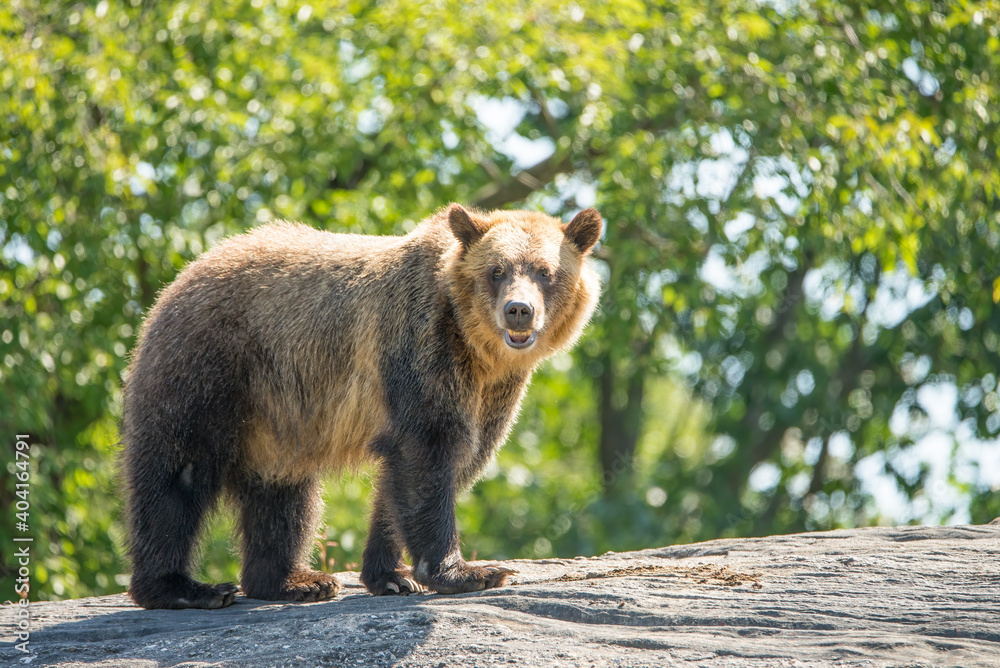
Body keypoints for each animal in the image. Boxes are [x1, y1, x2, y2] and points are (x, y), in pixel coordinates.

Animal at [121, 203, 603, 609]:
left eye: (545, 271)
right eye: (497, 270)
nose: (518, 310)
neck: (476, 350)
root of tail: (181, 275)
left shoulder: (493, 393)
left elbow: (428, 469)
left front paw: (390, 575)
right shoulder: (419, 348)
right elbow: (429, 454)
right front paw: (468, 572)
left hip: (279, 416)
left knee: (284, 493)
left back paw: (295, 581)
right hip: (210, 367)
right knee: (177, 474)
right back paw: (183, 588)